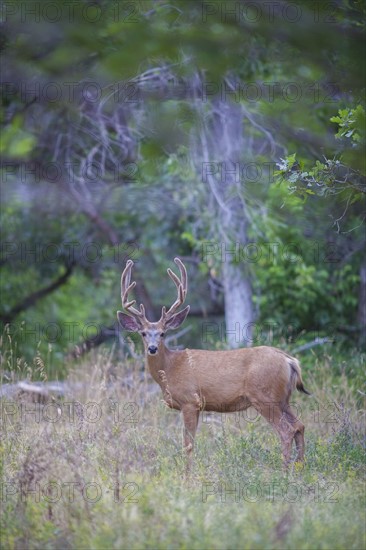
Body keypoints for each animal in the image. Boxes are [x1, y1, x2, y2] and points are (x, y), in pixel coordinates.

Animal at [116, 256, 308, 472]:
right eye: (143, 333)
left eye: (163, 333)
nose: (152, 348)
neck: (170, 368)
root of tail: (290, 360)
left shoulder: (190, 401)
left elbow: (188, 445)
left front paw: (187, 475)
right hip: (283, 399)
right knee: (299, 426)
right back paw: (300, 468)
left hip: (265, 397)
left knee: (286, 431)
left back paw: (284, 472)